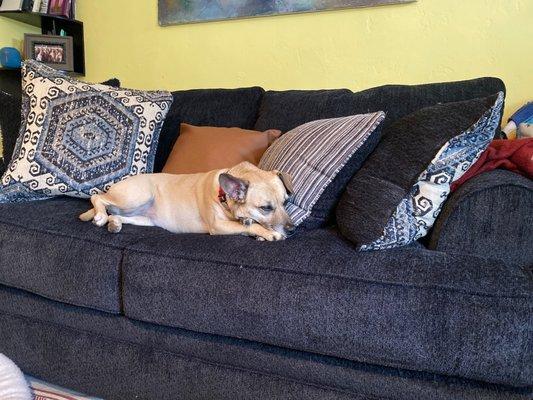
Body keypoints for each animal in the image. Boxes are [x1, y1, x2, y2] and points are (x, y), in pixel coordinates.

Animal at [79, 162, 296, 241]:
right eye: (266, 208)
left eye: (285, 202)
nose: (293, 229)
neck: (223, 196)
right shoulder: (218, 226)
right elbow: (251, 225)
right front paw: (269, 233)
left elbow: (248, 225)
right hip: (137, 195)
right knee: (98, 198)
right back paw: (100, 216)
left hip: (145, 218)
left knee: (116, 215)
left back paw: (114, 223)